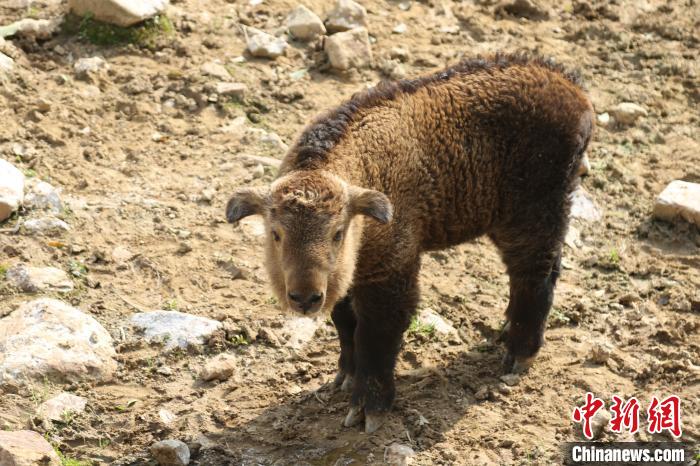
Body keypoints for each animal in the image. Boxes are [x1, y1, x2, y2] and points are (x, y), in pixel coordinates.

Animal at [227, 53, 592, 434]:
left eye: (337, 233)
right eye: (276, 233)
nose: (305, 298)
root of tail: (572, 86)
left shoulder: (392, 270)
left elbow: (377, 336)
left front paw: (368, 409)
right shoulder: (350, 276)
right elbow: (345, 322)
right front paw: (345, 375)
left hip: (535, 216)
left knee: (537, 276)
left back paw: (518, 353)